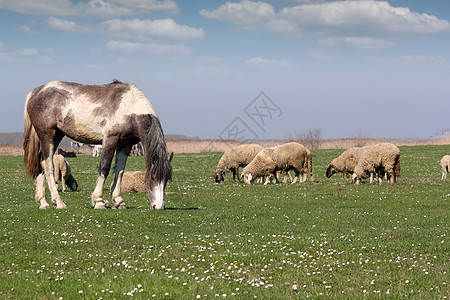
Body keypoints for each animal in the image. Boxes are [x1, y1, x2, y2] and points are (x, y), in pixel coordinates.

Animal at [23, 80, 173, 211]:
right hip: (48, 136)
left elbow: (119, 171)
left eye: (166, 179)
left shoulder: (125, 145)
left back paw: (43, 202)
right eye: (152, 177)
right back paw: (58, 202)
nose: (158, 206)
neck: (129, 108)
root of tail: (35, 92)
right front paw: (99, 201)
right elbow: (104, 168)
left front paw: (118, 201)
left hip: (57, 136)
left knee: (41, 162)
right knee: (48, 166)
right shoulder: (110, 140)